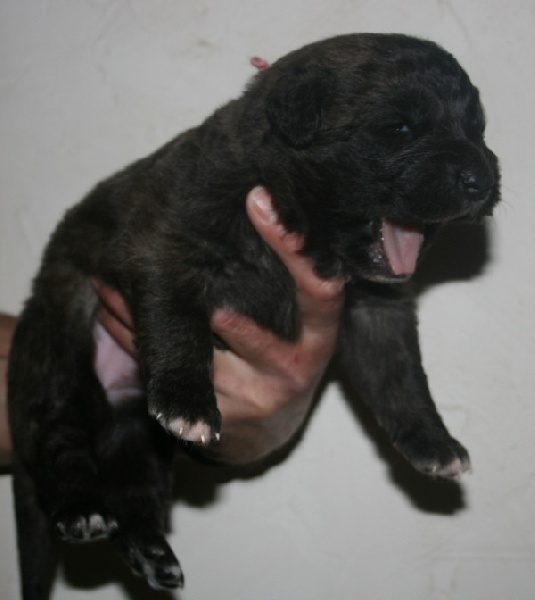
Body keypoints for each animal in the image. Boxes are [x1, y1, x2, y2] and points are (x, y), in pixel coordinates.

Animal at [8, 33, 500, 597]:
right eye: (399, 128)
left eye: (477, 128)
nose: (482, 179)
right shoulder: (167, 245)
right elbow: (179, 326)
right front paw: (187, 402)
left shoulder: (379, 311)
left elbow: (401, 381)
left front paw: (434, 443)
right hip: (58, 350)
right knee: (57, 439)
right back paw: (81, 508)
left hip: (132, 427)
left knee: (134, 486)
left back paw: (152, 552)